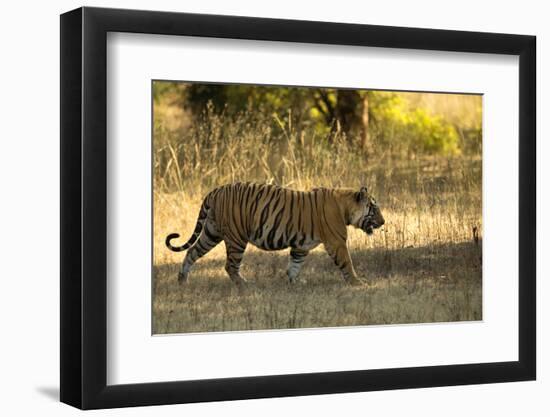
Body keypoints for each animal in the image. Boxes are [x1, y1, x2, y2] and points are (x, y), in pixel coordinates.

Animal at [166, 183, 386, 286]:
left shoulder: (301, 246)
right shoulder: (337, 242)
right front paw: (357, 283)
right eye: (374, 209)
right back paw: (245, 285)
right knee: (230, 265)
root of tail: (215, 191)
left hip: (211, 233)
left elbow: (294, 265)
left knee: (192, 252)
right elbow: (347, 263)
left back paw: (182, 280)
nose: (384, 222)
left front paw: (294, 282)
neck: (345, 206)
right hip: (236, 238)